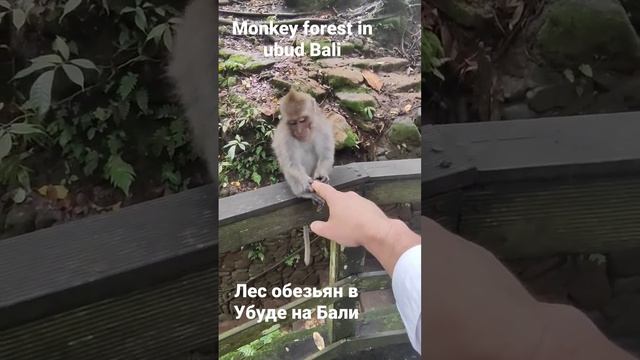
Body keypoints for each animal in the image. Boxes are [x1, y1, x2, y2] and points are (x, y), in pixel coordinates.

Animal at [272, 89, 336, 264]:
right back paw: (304, 193)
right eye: (293, 123)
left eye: (302, 120)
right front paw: (308, 185)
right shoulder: (285, 137)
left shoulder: (321, 126)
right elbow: (291, 164)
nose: (300, 132)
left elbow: (326, 154)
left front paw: (322, 177)